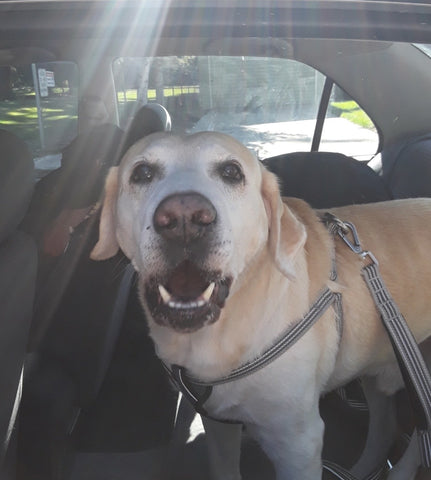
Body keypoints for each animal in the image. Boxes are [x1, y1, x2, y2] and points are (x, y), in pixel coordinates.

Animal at [91, 131, 431, 480]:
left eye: (231, 172)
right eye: (142, 173)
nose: (184, 218)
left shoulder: (297, 443)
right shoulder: (218, 421)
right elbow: (224, 467)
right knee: (384, 426)